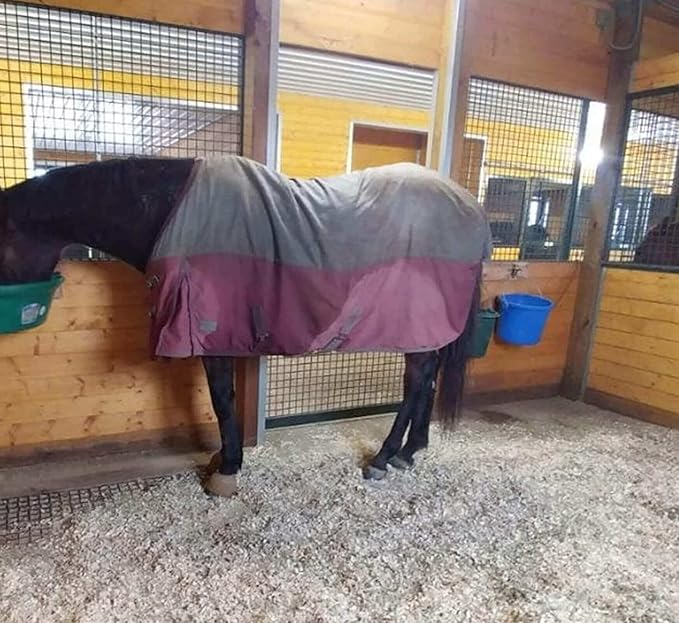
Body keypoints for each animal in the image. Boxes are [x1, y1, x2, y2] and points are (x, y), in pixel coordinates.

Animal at [0, 155, 492, 497]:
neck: (169, 211)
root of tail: (470, 208)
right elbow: (226, 399)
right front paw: (225, 456)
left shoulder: (209, 333)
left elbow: (220, 399)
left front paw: (227, 467)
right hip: (431, 330)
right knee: (428, 381)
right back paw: (411, 451)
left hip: (418, 325)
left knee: (416, 383)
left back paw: (385, 457)